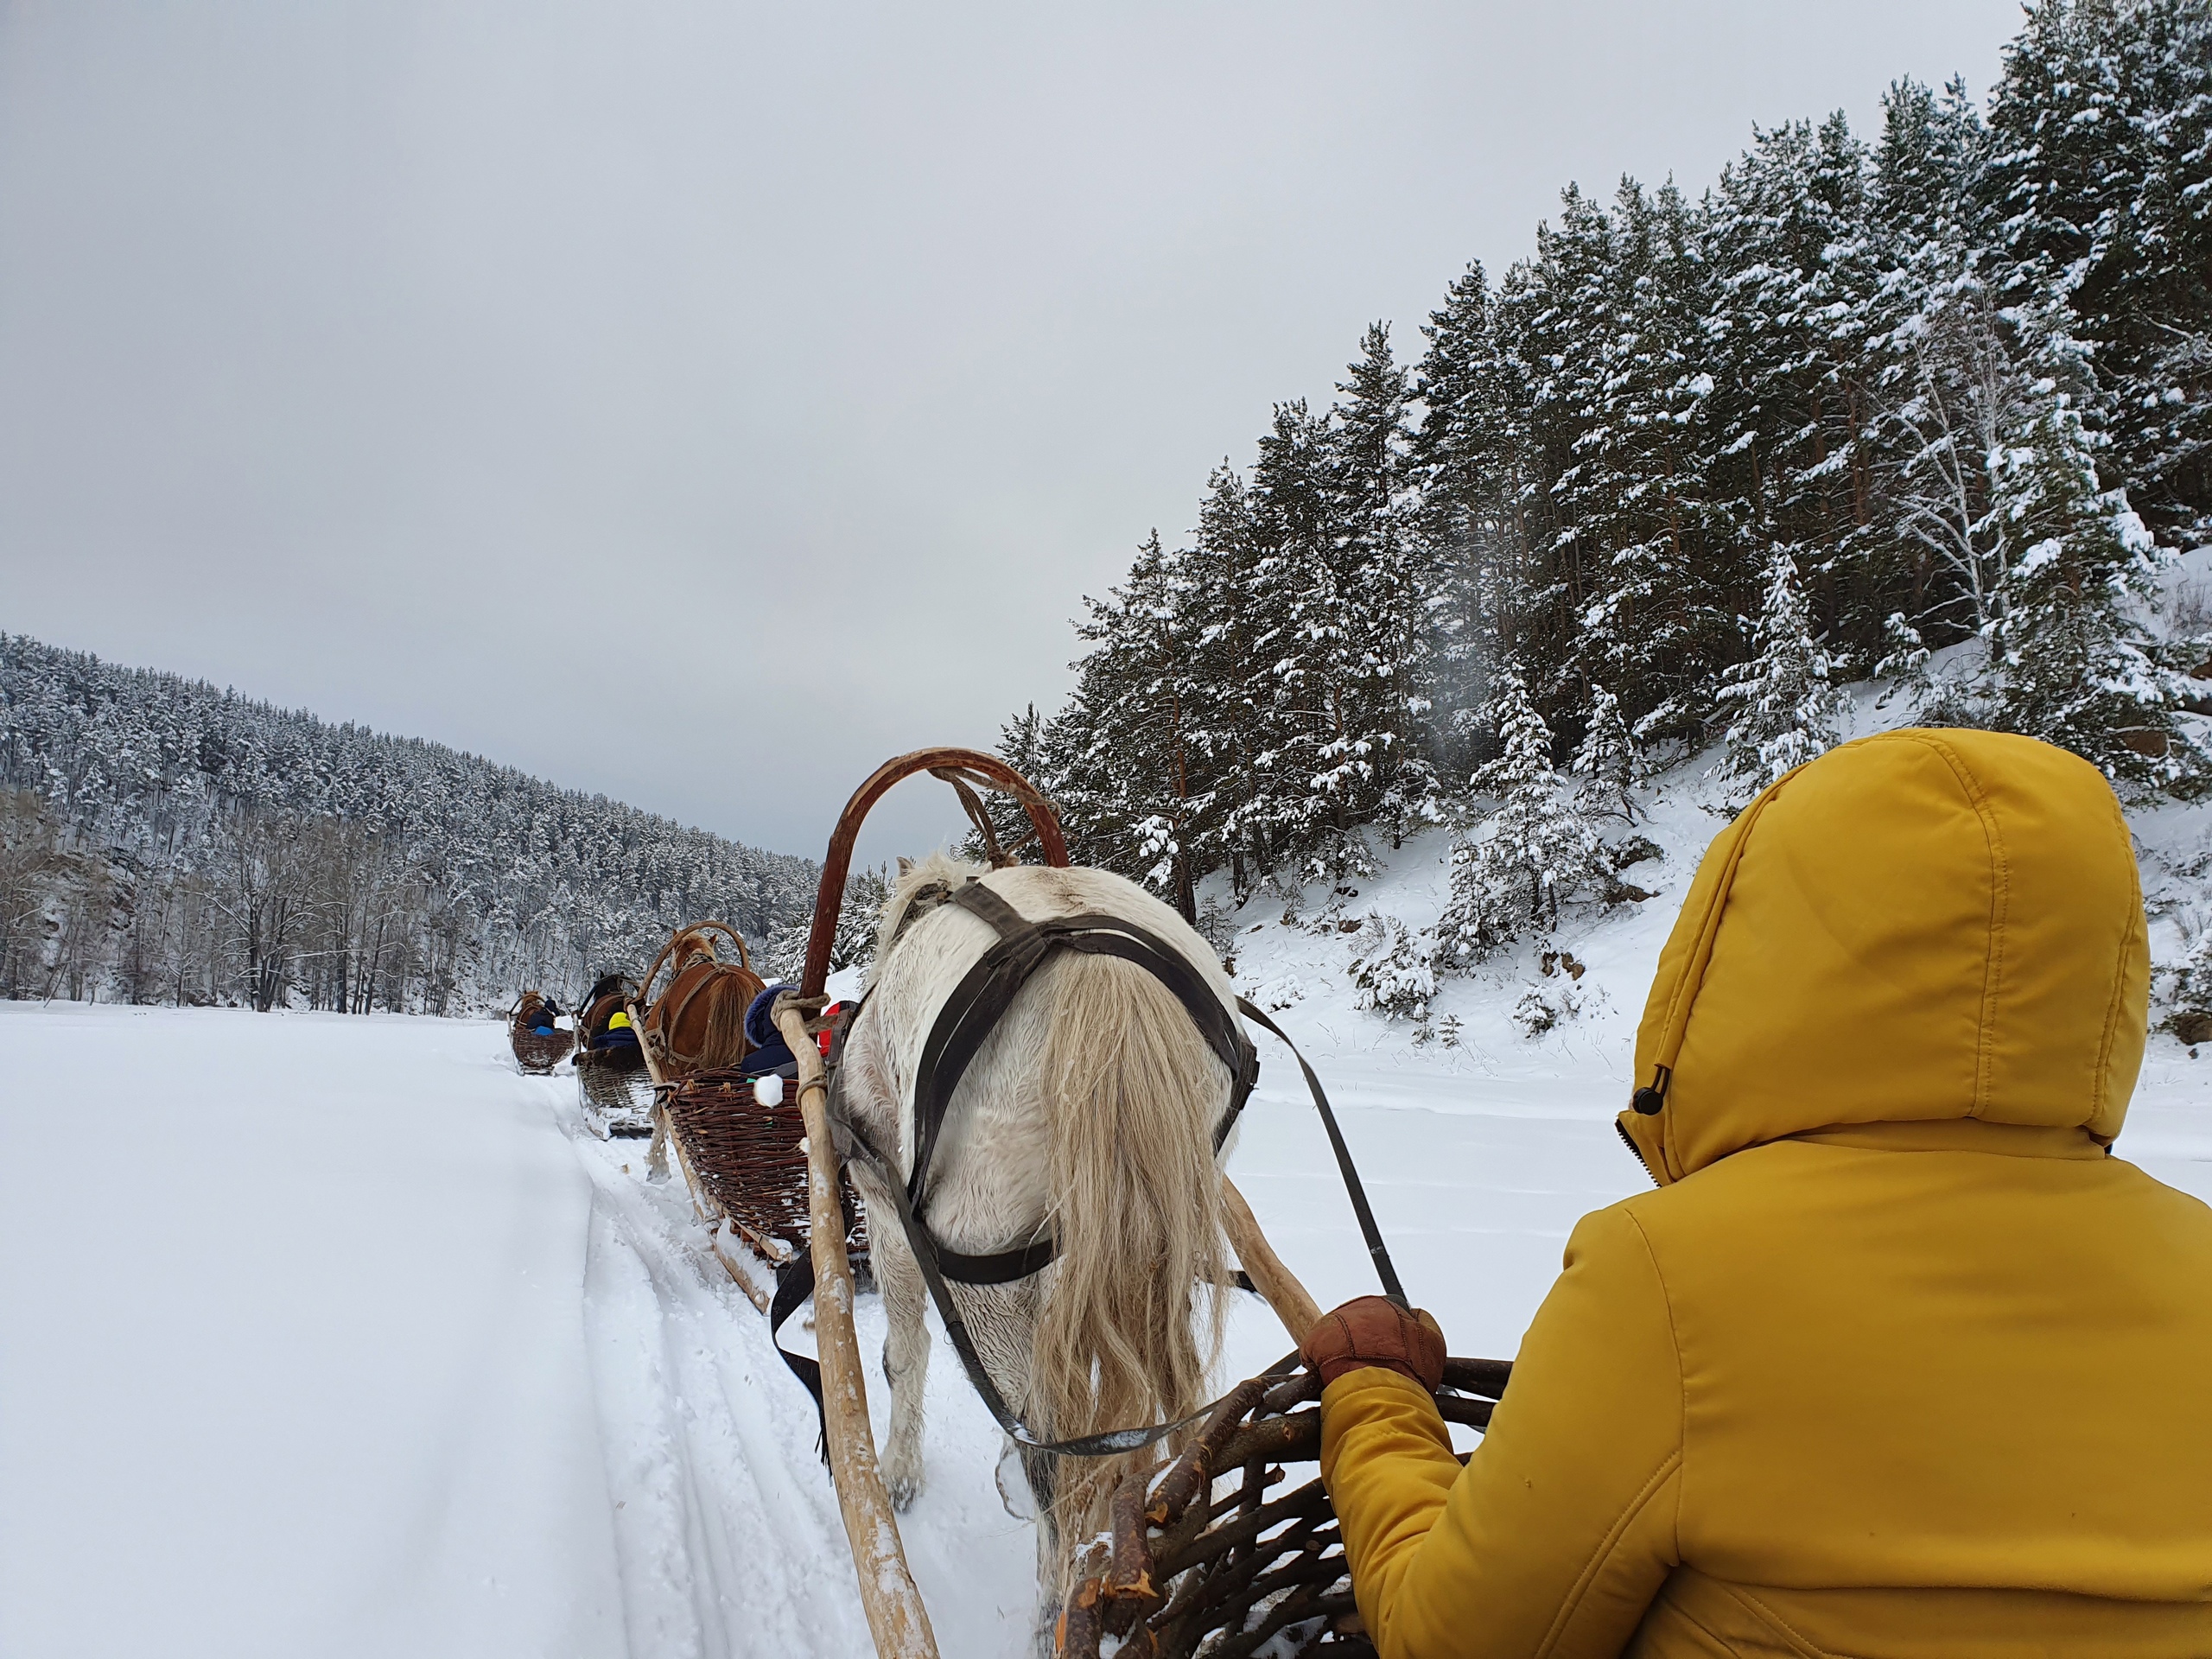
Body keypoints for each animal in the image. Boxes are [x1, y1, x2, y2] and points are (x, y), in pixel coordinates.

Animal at [831, 858, 1238, 1628]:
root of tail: (1100, 970)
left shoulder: (888, 1215)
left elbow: (903, 1354)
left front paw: (898, 1472)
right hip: (1150, 1238)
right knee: (1141, 1409)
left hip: (981, 1270)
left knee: (1050, 1452)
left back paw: (1056, 1611)